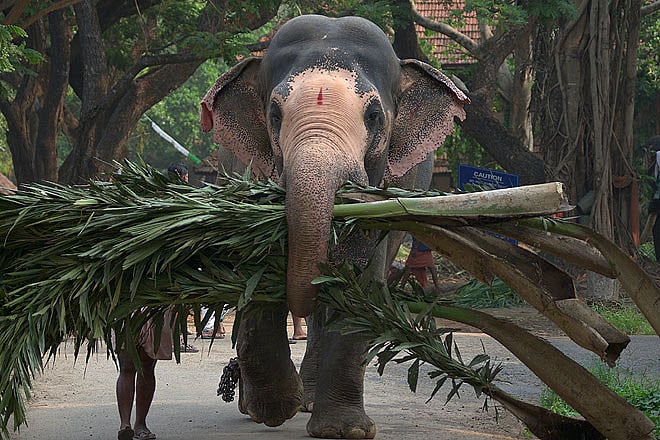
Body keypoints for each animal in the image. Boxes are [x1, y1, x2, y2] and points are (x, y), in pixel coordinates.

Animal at [200, 14, 469, 439]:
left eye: (374, 116)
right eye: (274, 116)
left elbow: (361, 280)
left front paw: (345, 431)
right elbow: (257, 267)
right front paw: (274, 409)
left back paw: (310, 401)